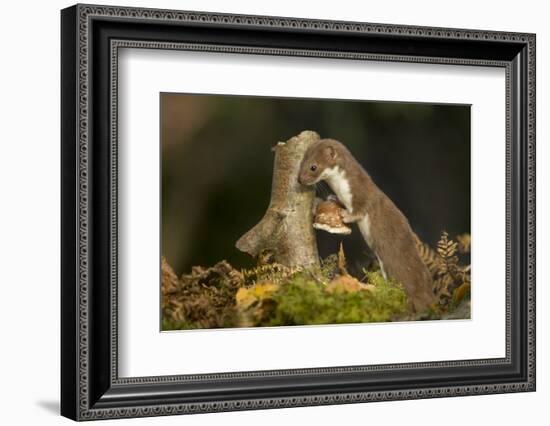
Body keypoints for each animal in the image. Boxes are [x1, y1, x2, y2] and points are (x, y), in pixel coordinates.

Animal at [300, 138, 438, 312]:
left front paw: (345, 214)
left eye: (313, 166)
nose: (300, 179)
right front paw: (333, 198)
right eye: (302, 161)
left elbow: (362, 209)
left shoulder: (362, 194)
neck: (341, 189)